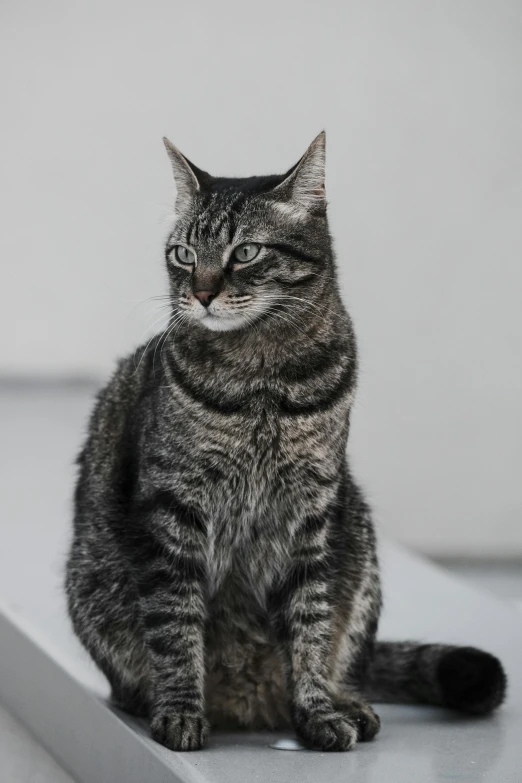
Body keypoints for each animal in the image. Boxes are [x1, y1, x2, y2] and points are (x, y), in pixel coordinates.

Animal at [65, 135, 504, 752]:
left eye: (245, 253)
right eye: (184, 254)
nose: (201, 293)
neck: (264, 383)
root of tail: (249, 705)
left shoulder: (312, 508)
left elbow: (311, 624)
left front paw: (319, 709)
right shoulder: (172, 506)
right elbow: (175, 623)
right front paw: (180, 711)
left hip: (358, 538)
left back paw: (347, 702)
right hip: (92, 584)